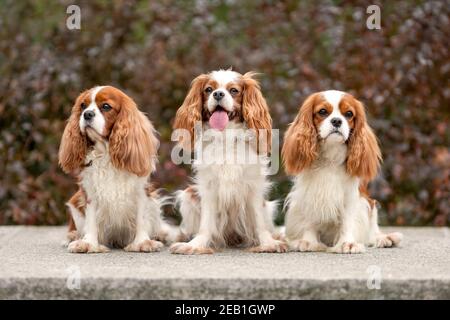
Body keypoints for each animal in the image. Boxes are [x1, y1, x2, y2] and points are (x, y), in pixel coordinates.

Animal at [171, 70, 286, 255]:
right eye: (209, 89)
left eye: (233, 90)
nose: (218, 94)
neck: (225, 136)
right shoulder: (208, 187)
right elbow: (206, 223)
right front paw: (196, 245)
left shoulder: (253, 187)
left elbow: (258, 221)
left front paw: (268, 243)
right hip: (189, 196)